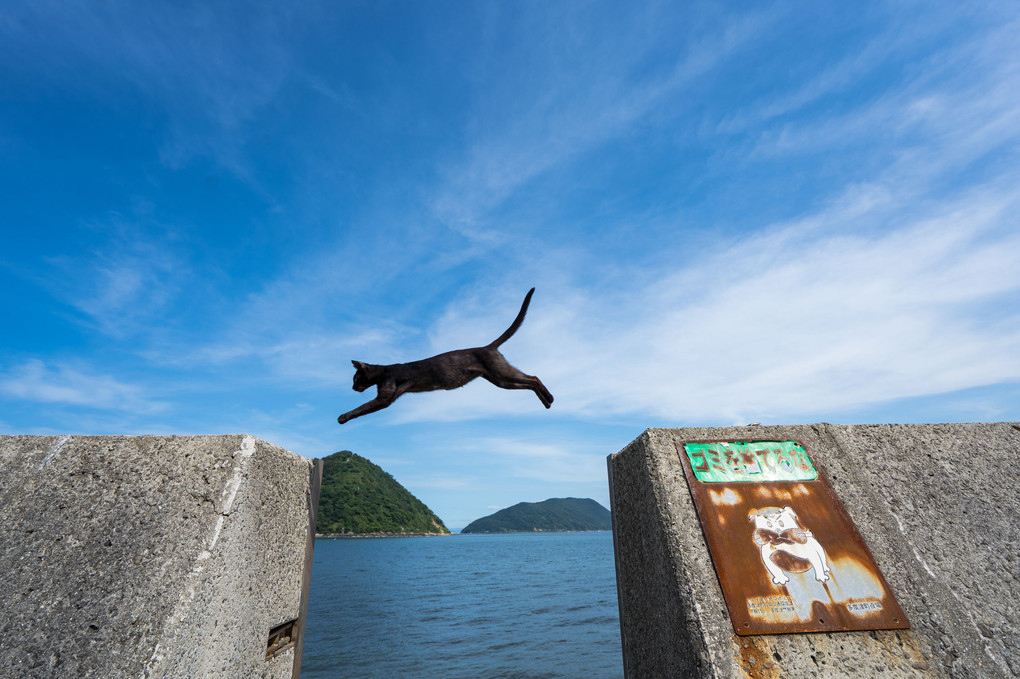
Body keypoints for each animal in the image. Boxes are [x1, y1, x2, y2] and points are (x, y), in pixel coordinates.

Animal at [338, 287, 554, 424]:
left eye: (355, 378)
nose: (353, 387)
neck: (383, 372)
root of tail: (487, 346)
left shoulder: (384, 398)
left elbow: (361, 407)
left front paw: (342, 417)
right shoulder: (388, 399)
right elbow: (364, 407)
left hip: (502, 373)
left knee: (534, 378)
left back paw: (549, 398)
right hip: (501, 381)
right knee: (528, 382)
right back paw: (547, 403)